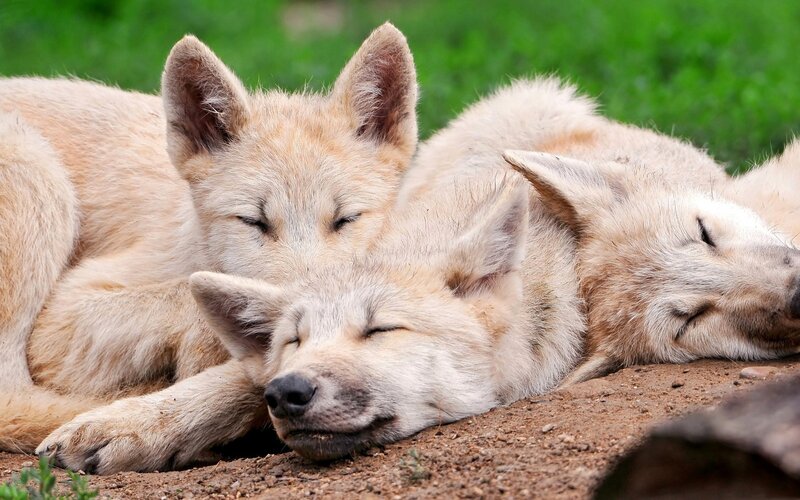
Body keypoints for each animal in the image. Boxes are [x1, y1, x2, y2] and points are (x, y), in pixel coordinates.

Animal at [0, 23, 418, 473]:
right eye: (253, 222)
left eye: (345, 220)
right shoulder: (62, 315)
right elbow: (191, 297)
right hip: (35, 171)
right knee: (12, 401)